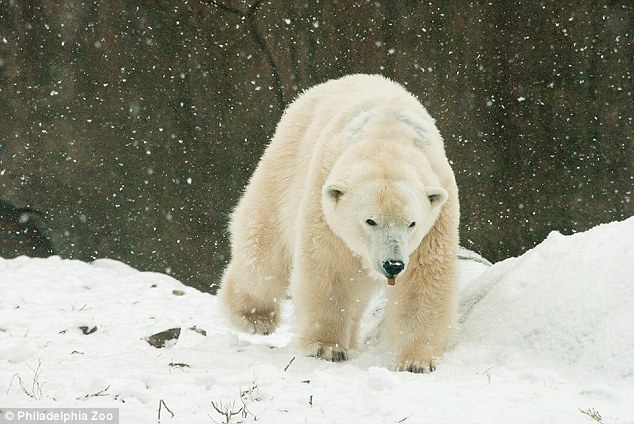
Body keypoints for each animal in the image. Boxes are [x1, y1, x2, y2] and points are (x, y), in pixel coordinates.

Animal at [220, 74, 456, 372]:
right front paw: (326, 347)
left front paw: (416, 362)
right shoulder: (323, 197)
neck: (387, 139)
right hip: (285, 162)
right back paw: (254, 317)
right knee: (264, 249)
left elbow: (424, 281)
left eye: (411, 223)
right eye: (370, 221)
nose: (393, 264)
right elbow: (329, 267)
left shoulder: (437, 218)